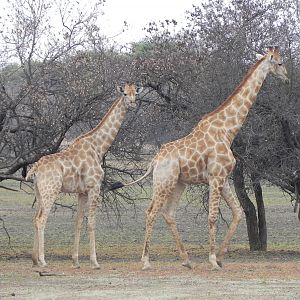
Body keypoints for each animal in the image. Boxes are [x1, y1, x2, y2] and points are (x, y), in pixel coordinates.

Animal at [25, 82, 143, 270]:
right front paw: (95, 262)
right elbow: (91, 222)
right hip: (51, 191)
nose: (132, 104)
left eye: (136, 93)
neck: (98, 147)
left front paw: (76, 261)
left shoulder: (81, 192)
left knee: (35, 218)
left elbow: (78, 222)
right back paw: (43, 260)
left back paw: (35, 260)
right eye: (124, 93)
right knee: (41, 219)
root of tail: (35, 168)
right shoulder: (94, 187)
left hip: (39, 192)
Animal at [111, 45, 290, 270]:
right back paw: (146, 261)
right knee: (151, 212)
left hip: (177, 183)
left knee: (168, 213)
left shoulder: (224, 178)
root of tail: (154, 160)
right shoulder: (215, 177)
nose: (287, 78)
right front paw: (213, 259)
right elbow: (213, 217)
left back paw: (186, 260)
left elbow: (238, 212)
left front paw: (220, 257)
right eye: (280, 62)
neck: (228, 131)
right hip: (164, 182)